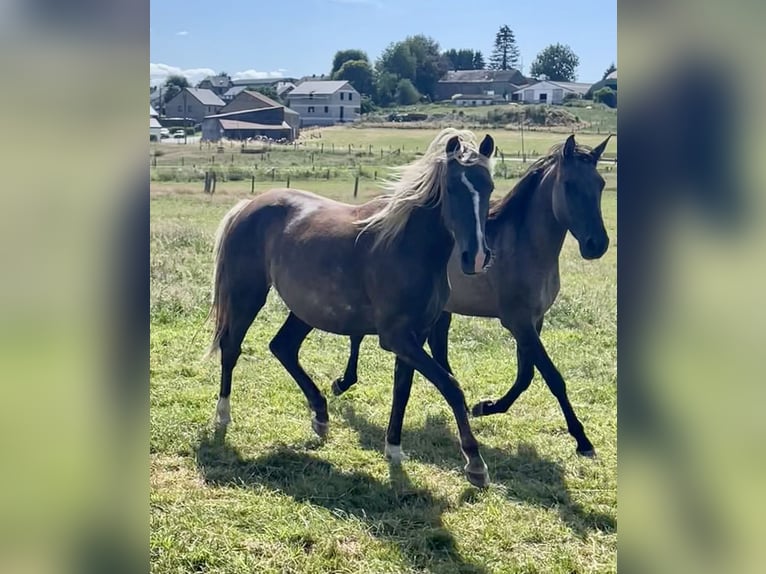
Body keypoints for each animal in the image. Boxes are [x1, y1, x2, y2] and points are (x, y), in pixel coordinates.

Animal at [206, 128, 497, 487]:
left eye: (489, 187)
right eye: (454, 188)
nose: (478, 258)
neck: (409, 247)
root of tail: (248, 206)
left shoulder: (414, 337)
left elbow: (403, 390)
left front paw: (394, 449)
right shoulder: (398, 338)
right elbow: (452, 387)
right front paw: (475, 463)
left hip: (306, 310)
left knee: (283, 347)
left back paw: (320, 415)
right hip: (247, 295)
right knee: (232, 348)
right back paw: (223, 415)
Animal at [330, 134, 613, 456]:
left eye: (600, 184)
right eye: (569, 185)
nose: (597, 245)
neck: (525, 245)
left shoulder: (533, 321)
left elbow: (525, 374)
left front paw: (484, 406)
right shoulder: (518, 322)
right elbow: (551, 376)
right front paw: (582, 439)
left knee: (436, 349)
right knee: (359, 335)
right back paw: (343, 382)